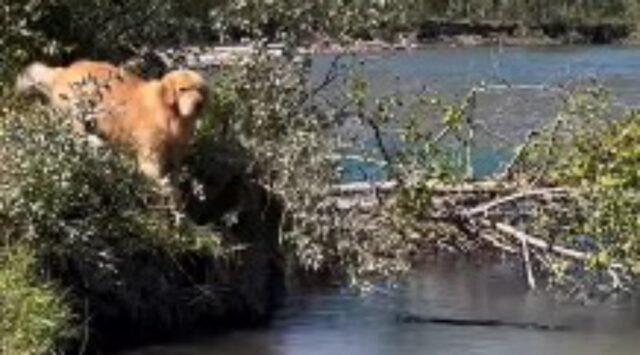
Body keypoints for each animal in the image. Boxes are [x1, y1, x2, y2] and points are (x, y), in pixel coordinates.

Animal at [15, 60, 206, 182]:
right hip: (78, 111)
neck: (169, 114)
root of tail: (63, 71)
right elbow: (155, 174)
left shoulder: (177, 150)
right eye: (183, 89)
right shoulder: (150, 150)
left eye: (200, 90)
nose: (199, 104)